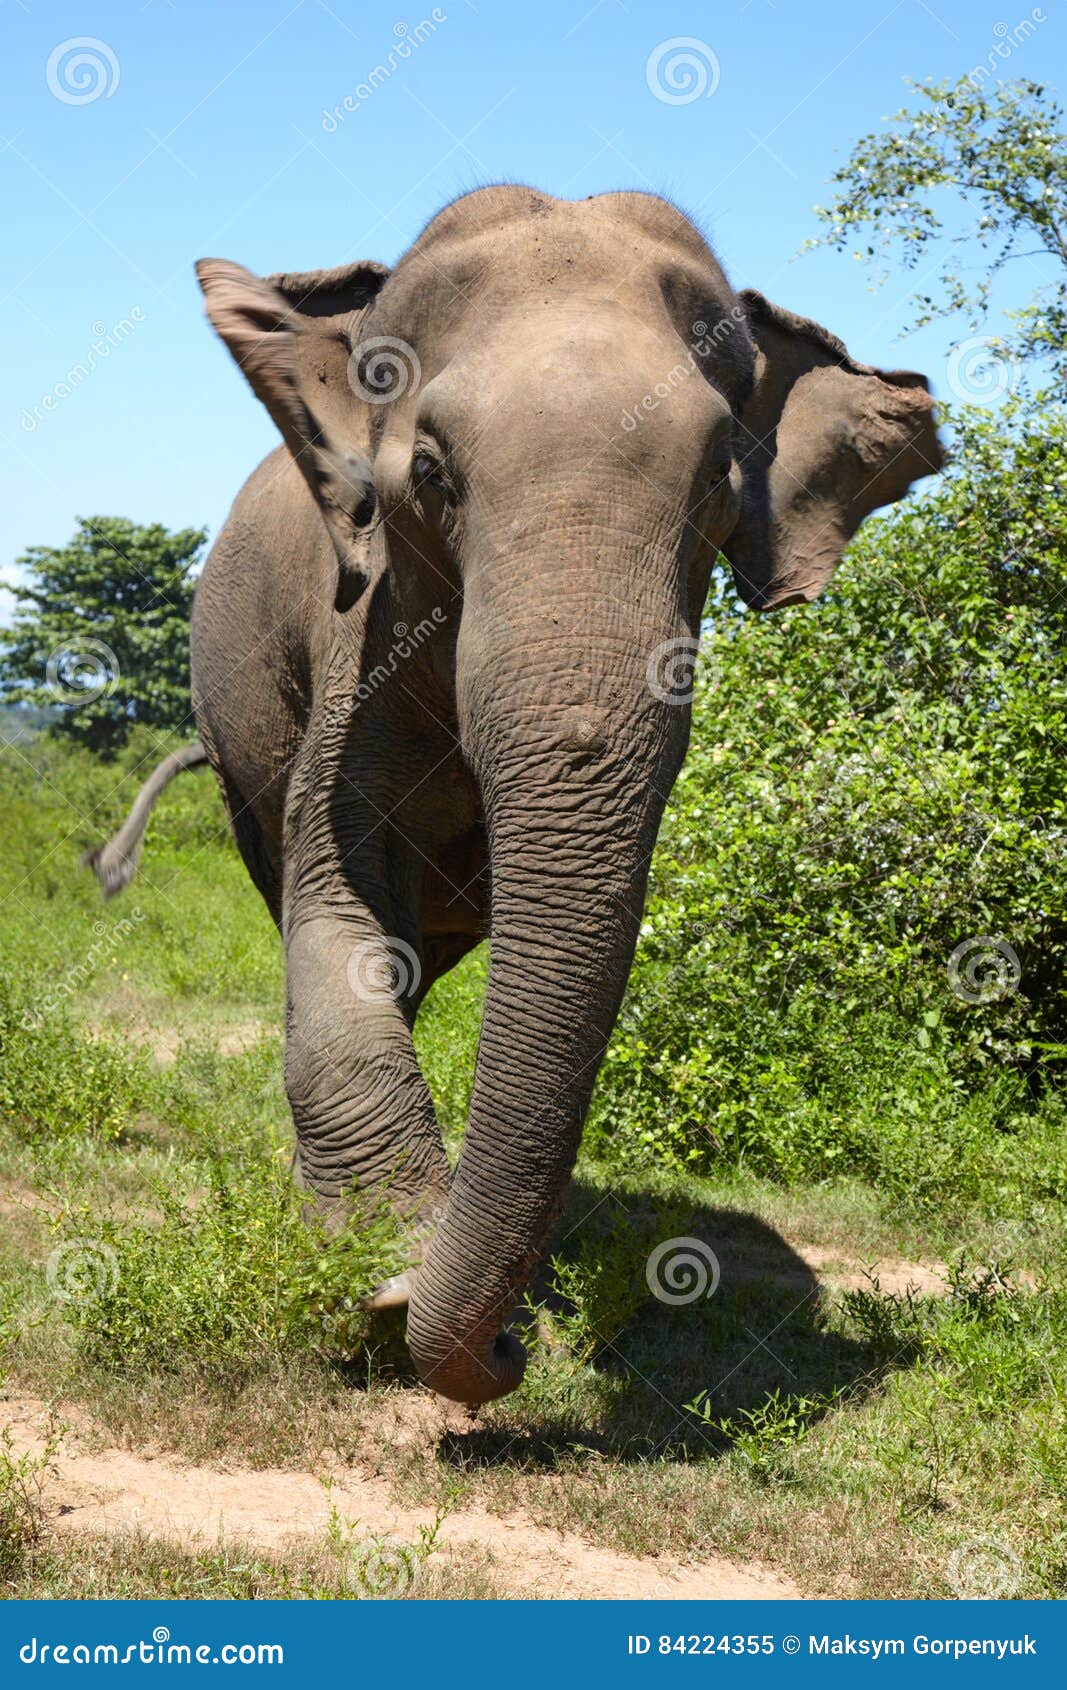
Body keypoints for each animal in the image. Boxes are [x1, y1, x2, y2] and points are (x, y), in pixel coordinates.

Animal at [89, 185, 940, 1406]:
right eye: (433, 476)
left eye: (719, 481)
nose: (503, 1347)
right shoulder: (356, 645)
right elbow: (335, 909)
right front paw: (376, 1275)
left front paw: (395, 1275)